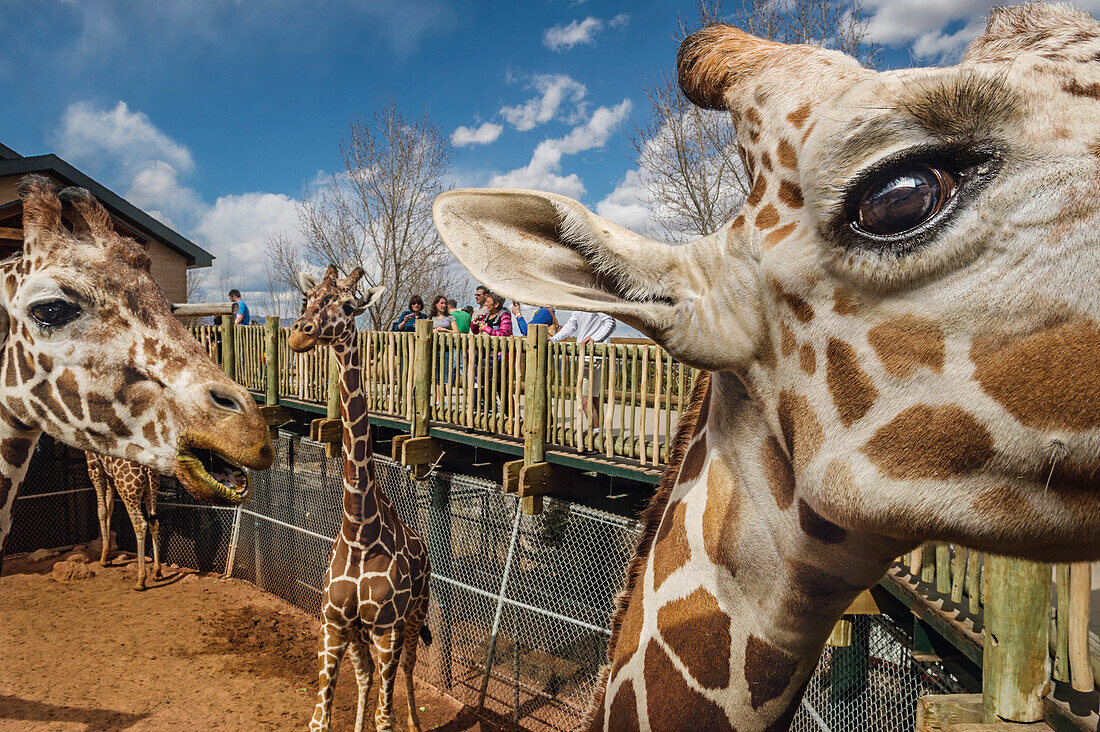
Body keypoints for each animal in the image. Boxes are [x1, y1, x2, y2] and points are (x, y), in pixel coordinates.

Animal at [85, 453, 161, 590]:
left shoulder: (94, 465)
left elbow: (101, 510)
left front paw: (103, 558)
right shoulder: (109, 473)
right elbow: (110, 506)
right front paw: (107, 555)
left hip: (127, 488)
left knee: (140, 524)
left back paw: (140, 580)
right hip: (152, 485)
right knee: (154, 522)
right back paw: (157, 572)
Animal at [290, 267, 431, 730]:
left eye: (349, 306)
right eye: (308, 298)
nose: (300, 334)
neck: (359, 532)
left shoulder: (388, 629)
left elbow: (385, 719)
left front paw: (397, 720)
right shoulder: (333, 624)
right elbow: (320, 720)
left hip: (415, 616)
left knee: (406, 670)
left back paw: (415, 722)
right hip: (358, 634)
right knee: (366, 673)